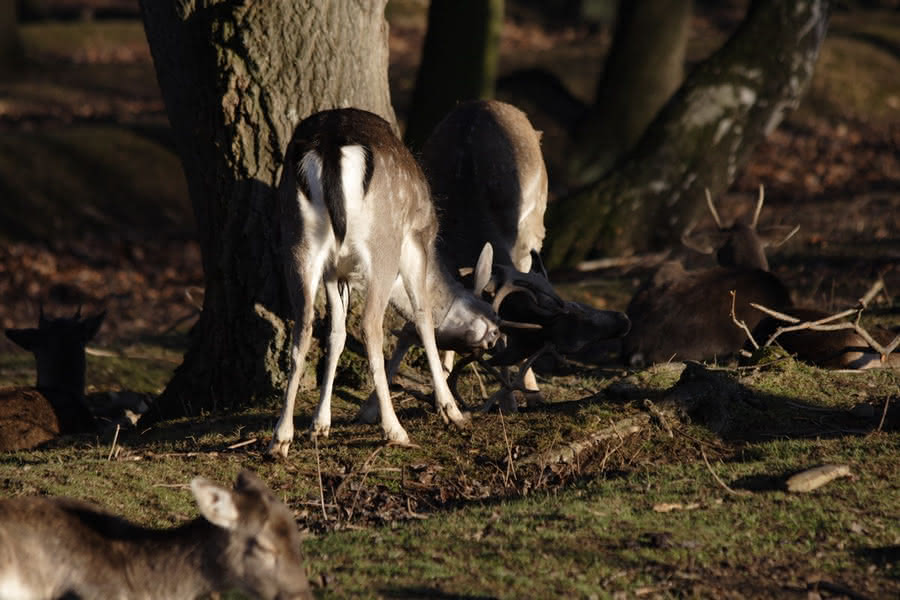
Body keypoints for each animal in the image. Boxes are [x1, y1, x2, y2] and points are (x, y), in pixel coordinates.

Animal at [268, 108, 500, 458]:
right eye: (493, 326)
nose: (498, 340)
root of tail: (331, 145)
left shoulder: (334, 272)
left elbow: (336, 334)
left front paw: (320, 425)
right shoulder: (416, 245)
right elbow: (423, 319)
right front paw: (452, 412)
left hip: (297, 242)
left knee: (303, 326)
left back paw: (280, 438)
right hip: (383, 245)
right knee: (370, 325)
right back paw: (395, 429)